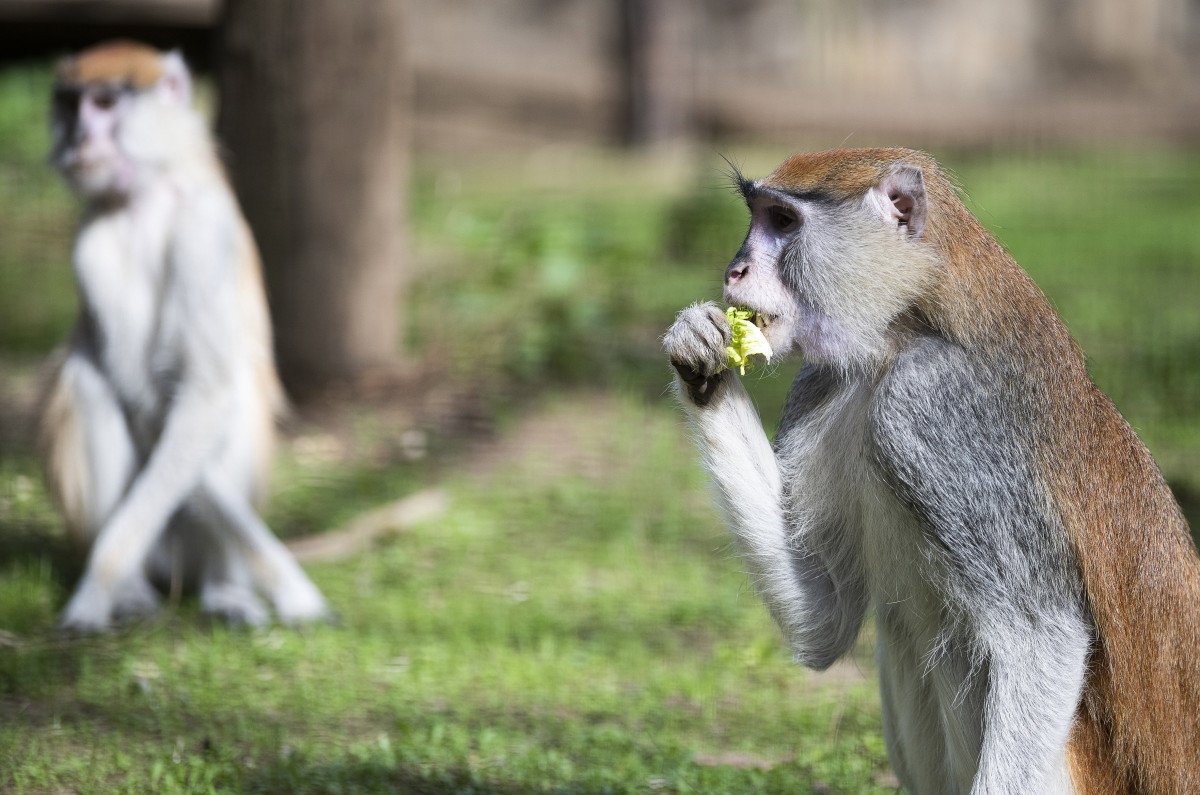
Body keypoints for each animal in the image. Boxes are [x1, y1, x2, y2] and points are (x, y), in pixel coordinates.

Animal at [40, 42, 331, 634]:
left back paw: (226, 589)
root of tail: (175, 567)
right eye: (70, 105)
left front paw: (294, 592)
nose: (78, 140)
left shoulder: (205, 232)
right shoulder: (91, 244)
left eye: (104, 103)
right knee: (88, 382)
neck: (147, 195)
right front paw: (101, 589)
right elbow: (142, 399)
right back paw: (132, 592)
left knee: (234, 392)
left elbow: (203, 395)